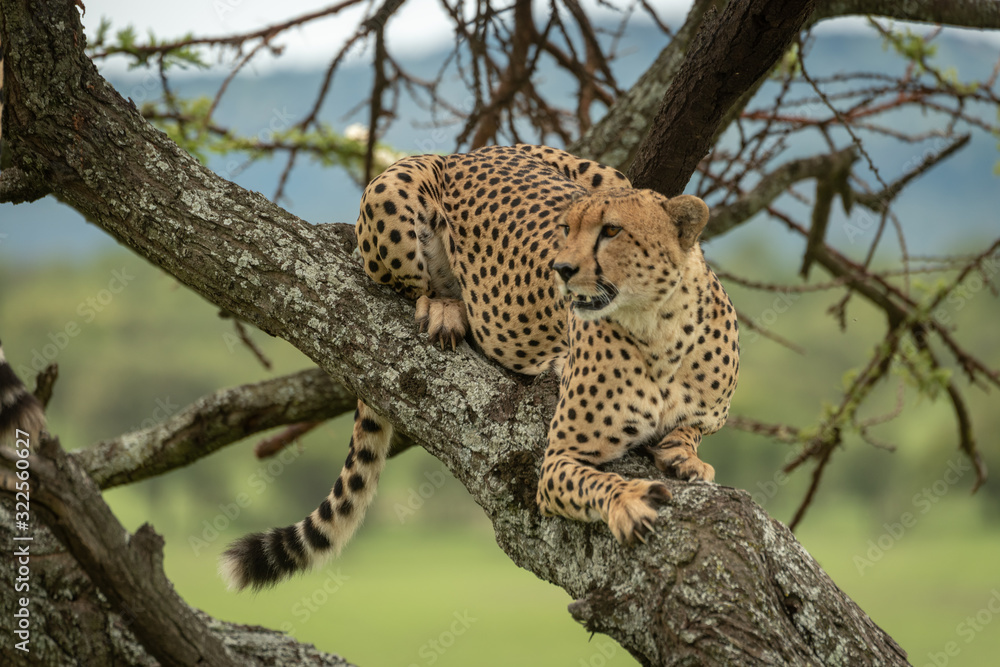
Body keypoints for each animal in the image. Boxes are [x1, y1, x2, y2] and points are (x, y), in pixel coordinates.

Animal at [220, 144, 739, 591]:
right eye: (566, 229)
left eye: (611, 230)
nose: (561, 269)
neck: (659, 327)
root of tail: (473, 151)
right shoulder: (557, 461)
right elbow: (596, 479)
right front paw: (630, 500)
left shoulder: (709, 414)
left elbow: (693, 428)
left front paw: (685, 455)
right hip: (393, 190)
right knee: (409, 286)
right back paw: (446, 308)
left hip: (607, 174)